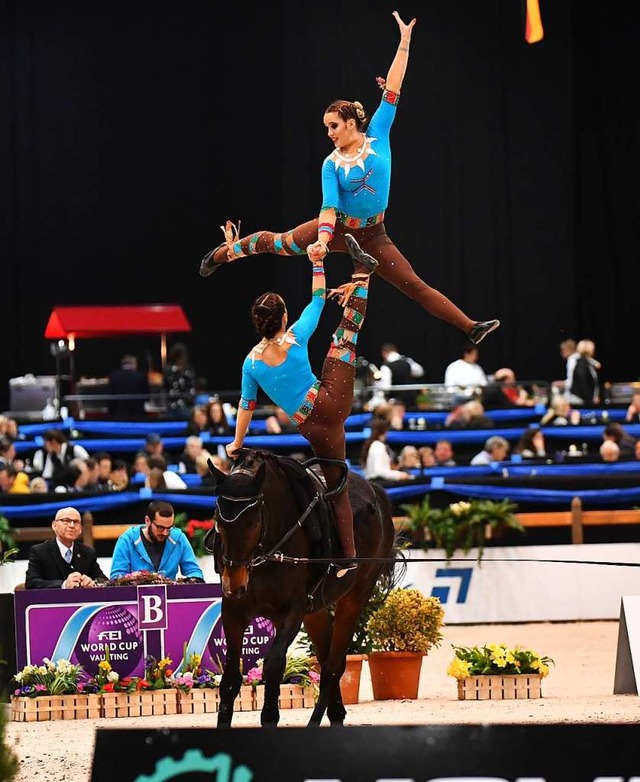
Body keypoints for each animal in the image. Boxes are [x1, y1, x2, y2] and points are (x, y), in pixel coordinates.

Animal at [205, 450, 398, 732]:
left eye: (253, 523)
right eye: (219, 521)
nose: (235, 583)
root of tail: (374, 491)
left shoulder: (291, 614)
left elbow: (274, 664)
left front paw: (269, 716)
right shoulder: (233, 611)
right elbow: (230, 676)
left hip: (355, 597)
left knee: (333, 665)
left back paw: (316, 722)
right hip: (314, 611)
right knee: (326, 658)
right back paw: (336, 714)